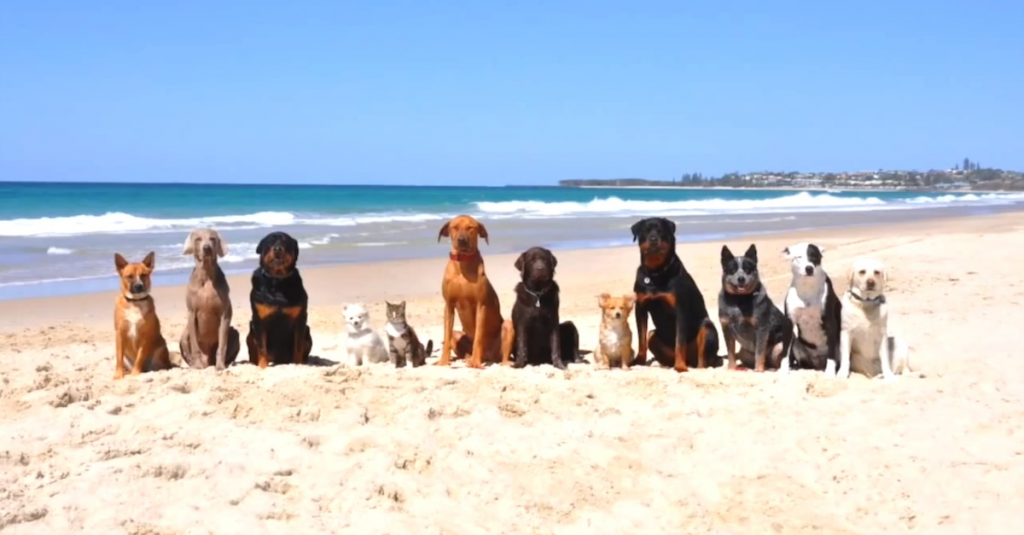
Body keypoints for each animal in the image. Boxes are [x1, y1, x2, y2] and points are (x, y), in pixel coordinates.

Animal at [181, 226, 240, 368]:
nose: (206, 248)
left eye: (212, 238)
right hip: (184, 334)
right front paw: (197, 366)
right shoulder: (191, 313)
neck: (206, 274)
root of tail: (208, 361)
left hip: (235, 332)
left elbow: (222, 344)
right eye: (198, 239)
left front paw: (220, 366)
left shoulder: (225, 313)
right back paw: (194, 364)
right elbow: (195, 345)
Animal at [436, 212, 512, 366]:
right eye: (454, 227)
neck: (463, 263)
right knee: (453, 337)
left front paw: (475, 362)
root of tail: (489, 357)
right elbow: (446, 336)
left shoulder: (480, 305)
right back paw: (463, 357)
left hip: (507, 328)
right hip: (458, 336)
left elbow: (478, 335)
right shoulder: (449, 305)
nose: (461, 240)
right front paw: (443, 360)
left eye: (470, 227)